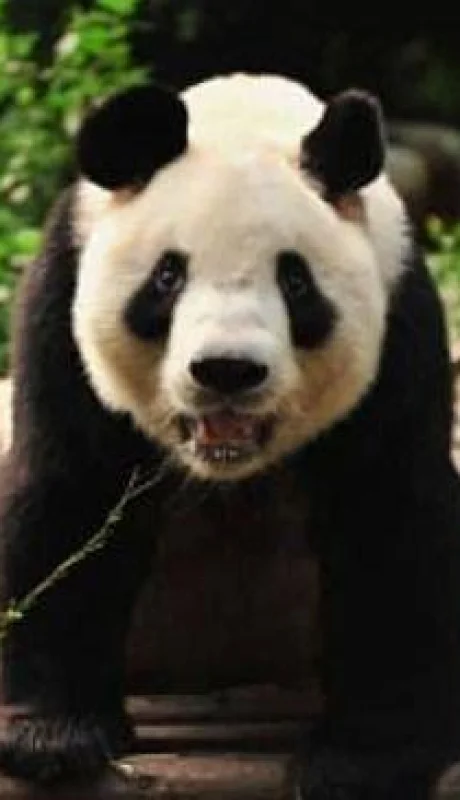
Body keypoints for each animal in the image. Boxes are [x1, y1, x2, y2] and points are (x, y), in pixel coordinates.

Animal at [0, 72, 460, 798]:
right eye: (168, 276)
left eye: (296, 281)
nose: (227, 371)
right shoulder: (61, 301)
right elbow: (72, 494)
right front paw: (54, 735)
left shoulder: (400, 327)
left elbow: (388, 522)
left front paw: (362, 758)